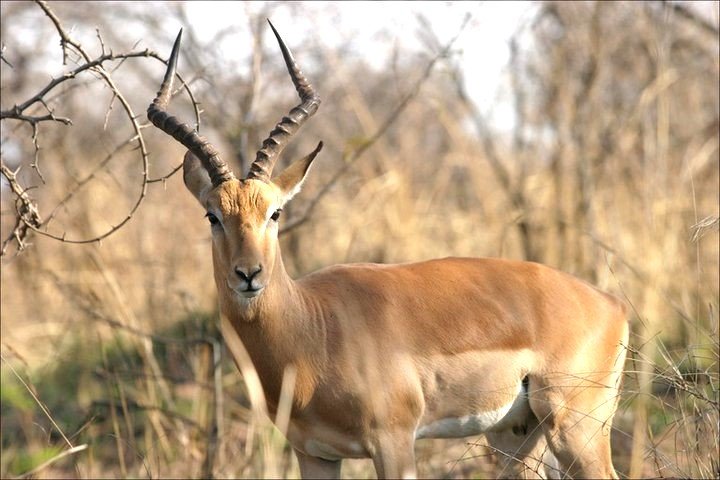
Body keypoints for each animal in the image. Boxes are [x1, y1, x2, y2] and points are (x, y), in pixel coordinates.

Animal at [148, 20, 632, 478]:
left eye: (275, 212)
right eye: (212, 216)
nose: (248, 274)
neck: (313, 328)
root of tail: (610, 303)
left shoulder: (394, 441)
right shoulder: (314, 454)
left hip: (575, 429)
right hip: (516, 435)